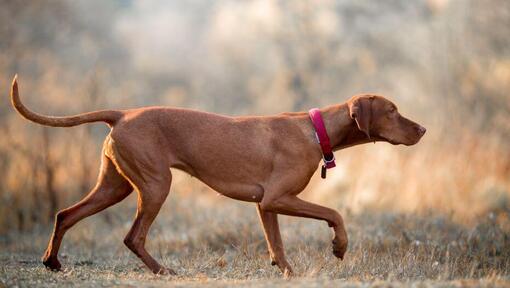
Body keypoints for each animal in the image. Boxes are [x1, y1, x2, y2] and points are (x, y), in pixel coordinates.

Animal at [9, 75, 426, 276]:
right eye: (393, 110)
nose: (423, 129)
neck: (315, 129)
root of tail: (122, 114)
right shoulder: (278, 198)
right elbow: (334, 213)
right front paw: (339, 246)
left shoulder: (265, 205)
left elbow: (277, 246)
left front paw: (287, 272)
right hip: (156, 186)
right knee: (132, 237)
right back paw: (164, 271)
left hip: (114, 186)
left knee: (65, 215)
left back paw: (52, 262)